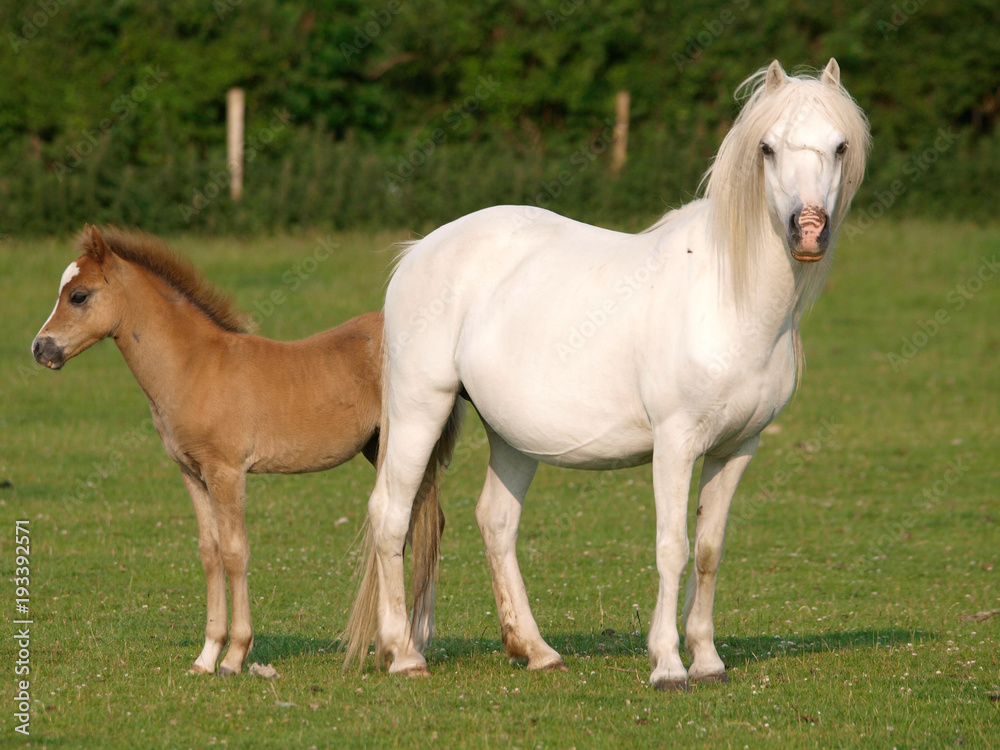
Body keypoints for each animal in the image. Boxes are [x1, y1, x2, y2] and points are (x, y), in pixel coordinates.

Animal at [344, 60, 868, 692]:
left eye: (839, 146)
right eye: (767, 148)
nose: (808, 229)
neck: (727, 298)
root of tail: (420, 250)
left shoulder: (738, 447)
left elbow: (709, 549)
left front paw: (708, 660)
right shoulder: (676, 443)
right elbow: (672, 547)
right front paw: (668, 665)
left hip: (511, 434)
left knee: (496, 521)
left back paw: (535, 649)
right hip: (422, 406)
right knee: (391, 515)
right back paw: (403, 653)